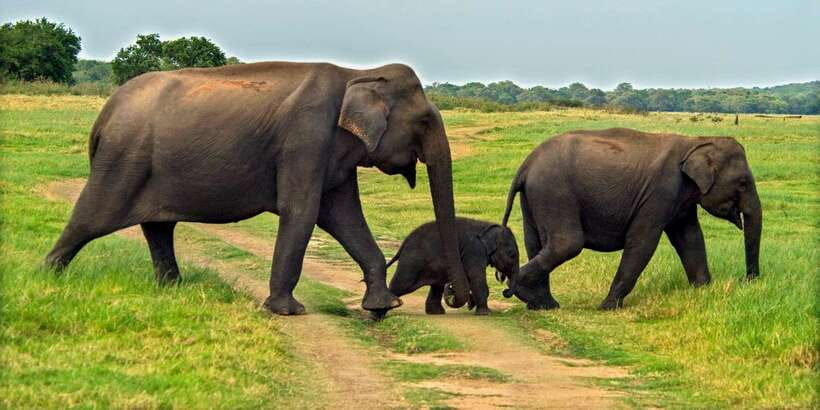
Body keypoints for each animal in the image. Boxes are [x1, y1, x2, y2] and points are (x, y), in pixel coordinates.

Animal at [43, 61, 472, 315]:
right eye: (424, 122)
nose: (456, 297)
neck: (359, 72)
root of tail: (104, 114)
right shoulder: (306, 138)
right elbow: (303, 212)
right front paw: (288, 311)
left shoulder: (332, 153)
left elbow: (344, 216)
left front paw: (382, 307)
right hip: (123, 160)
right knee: (88, 220)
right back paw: (47, 278)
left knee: (158, 228)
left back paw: (174, 288)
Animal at [383, 217, 520, 316]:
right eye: (512, 254)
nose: (505, 291)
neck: (487, 226)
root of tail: (403, 243)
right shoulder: (474, 251)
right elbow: (476, 277)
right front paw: (486, 314)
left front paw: (471, 304)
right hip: (412, 262)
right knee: (402, 284)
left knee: (437, 285)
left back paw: (436, 313)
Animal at [500, 128, 762, 310]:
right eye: (742, 183)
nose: (746, 280)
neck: (695, 142)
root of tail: (525, 165)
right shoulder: (660, 192)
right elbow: (643, 241)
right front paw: (607, 307)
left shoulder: (682, 199)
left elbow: (690, 238)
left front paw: (703, 291)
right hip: (554, 191)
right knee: (567, 244)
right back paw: (521, 291)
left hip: (534, 196)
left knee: (536, 243)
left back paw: (543, 304)